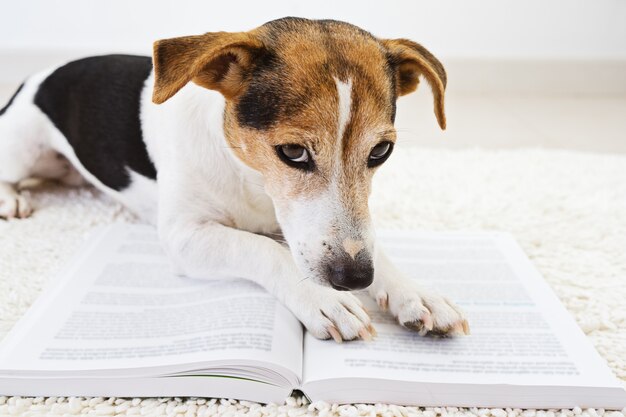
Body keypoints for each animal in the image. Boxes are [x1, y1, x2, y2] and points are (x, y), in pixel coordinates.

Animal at [0, 17, 466, 340]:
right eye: (292, 152)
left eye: (380, 151)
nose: (353, 279)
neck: (252, 179)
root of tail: (36, 76)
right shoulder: (185, 236)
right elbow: (263, 249)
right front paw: (324, 299)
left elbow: (374, 247)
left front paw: (414, 292)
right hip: (21, 148)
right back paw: (11, 199)